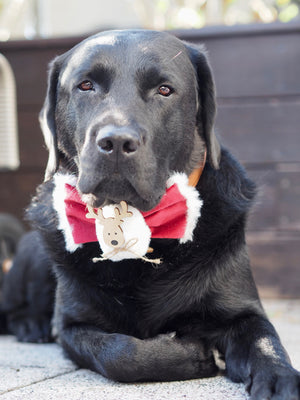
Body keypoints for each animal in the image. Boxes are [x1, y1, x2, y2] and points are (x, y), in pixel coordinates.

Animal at [12, 30, 300, 396]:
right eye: (86, 85)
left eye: (164, 89)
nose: (116, 142)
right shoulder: (73, 326)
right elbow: (119, 352)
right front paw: (191, 354)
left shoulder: (243, 312)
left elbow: (265, 340)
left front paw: (279, 378)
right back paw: (29, 325)